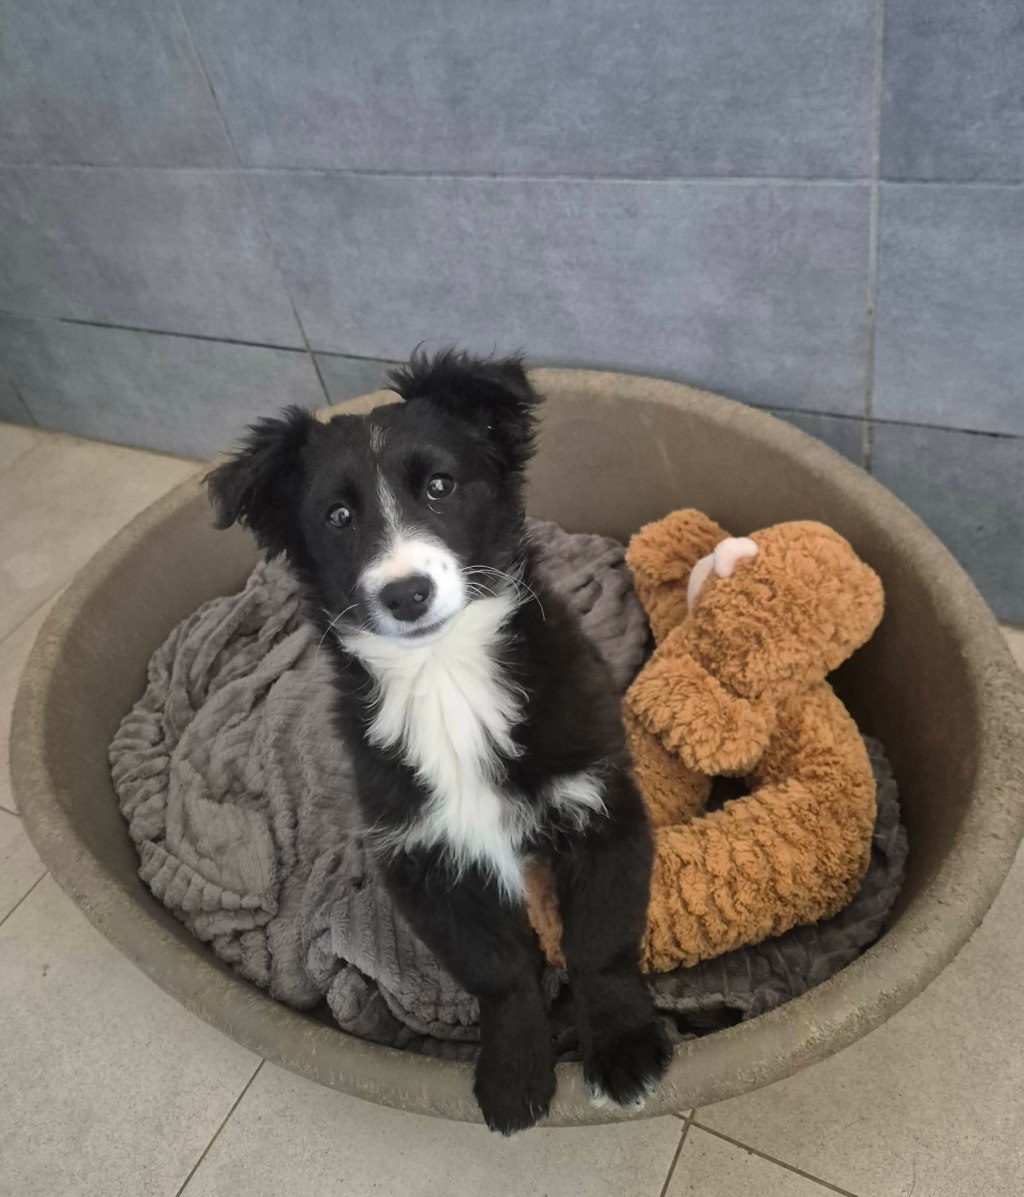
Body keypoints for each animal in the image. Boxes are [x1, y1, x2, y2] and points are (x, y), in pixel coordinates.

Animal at [206, 350, 669, 1133]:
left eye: (440, 485)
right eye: (337, 516)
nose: (406, 593)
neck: (444, 672)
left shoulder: (600, 802)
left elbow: (598, 940)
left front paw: (624, 1048)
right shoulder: (424, 858)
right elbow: (498, 969)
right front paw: (514, 1072)